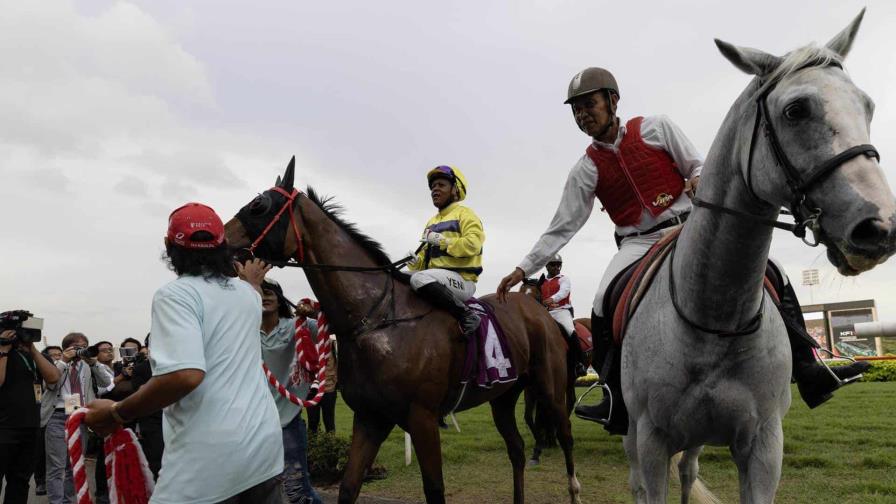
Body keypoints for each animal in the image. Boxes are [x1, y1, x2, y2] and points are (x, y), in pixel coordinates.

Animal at [226, 170, 580, 504]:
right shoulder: (370, 418)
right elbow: (348, 487)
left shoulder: (423, 419)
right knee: (517, 449)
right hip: (503, 395)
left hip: (550, 388)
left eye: (259, 205)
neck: (377, 320)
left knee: (566, 437)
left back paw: (574, 488)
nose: (219, 240)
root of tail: (537, 309)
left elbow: (435, 490)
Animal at [624, 9, 896, 502]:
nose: (880, 228)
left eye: (866, 106)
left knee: (688, 471)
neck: (714, 319)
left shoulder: (764, 445)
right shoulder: (651, 442)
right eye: (796, 110)